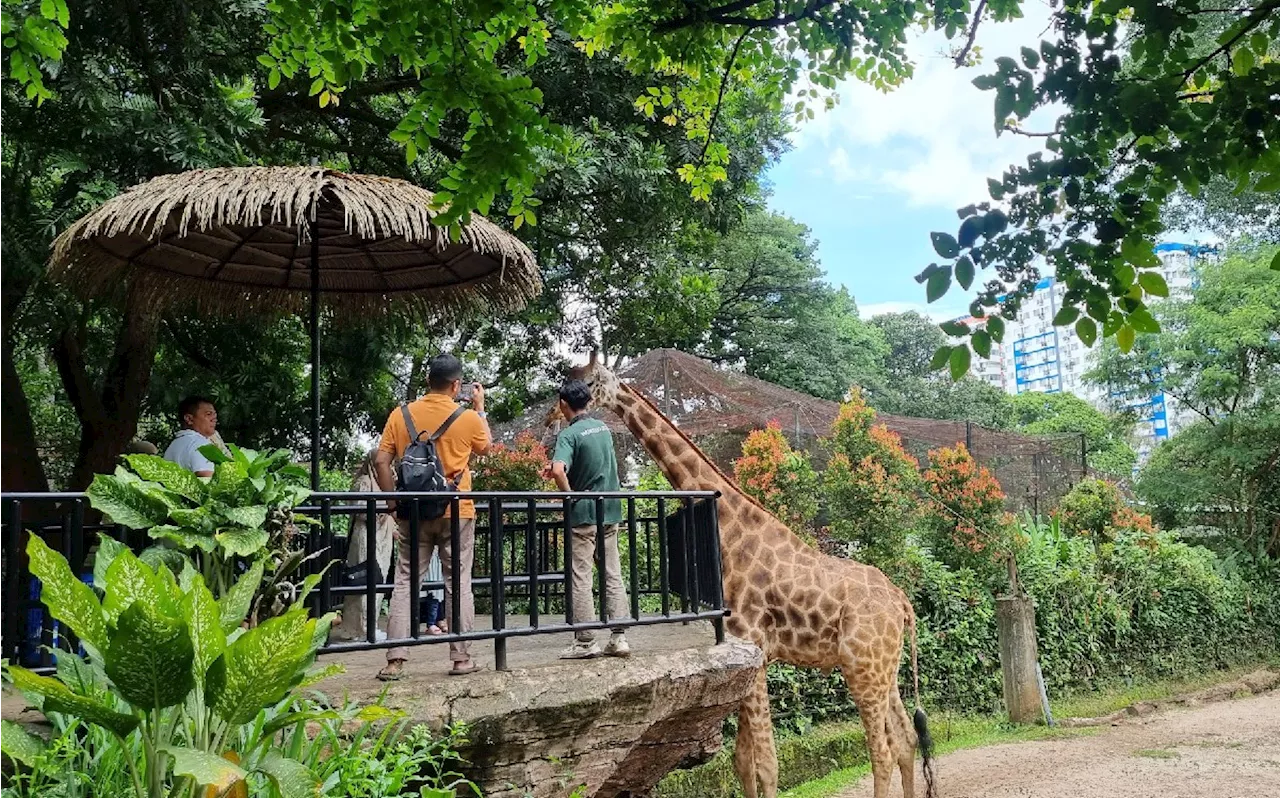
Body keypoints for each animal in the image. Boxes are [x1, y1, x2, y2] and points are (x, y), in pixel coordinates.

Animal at [545, 356, 936, 798]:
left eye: (586, 382)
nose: (552, 415)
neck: (730, 530)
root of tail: (901, 601)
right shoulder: (748, 656)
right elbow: (743, 762)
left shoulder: (755, 648)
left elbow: (767, 764)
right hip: (885, 667)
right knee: (905, 740)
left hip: (862, 666)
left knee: (882, 752)